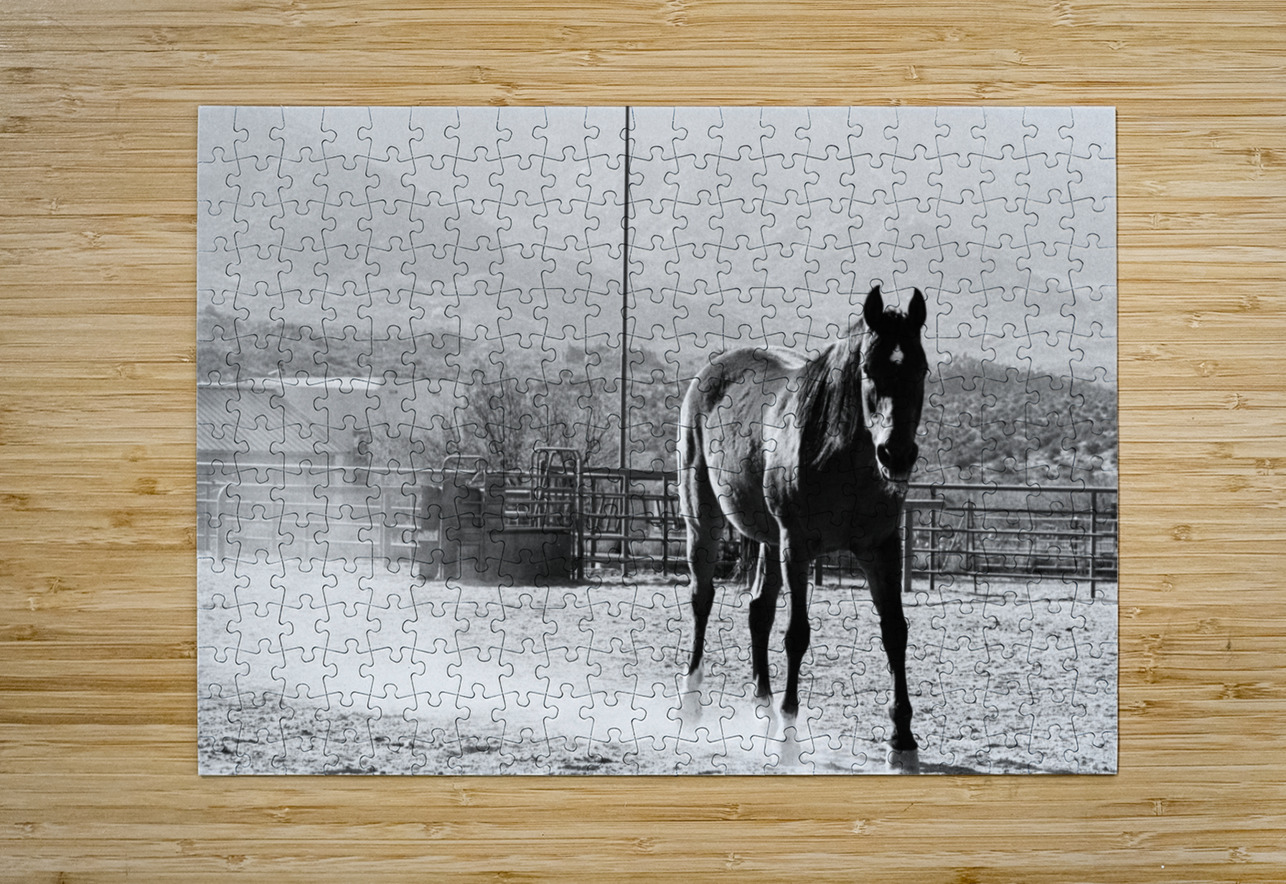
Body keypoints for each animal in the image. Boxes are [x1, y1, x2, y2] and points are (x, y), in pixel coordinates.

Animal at [677, 284, 929, 770]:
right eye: (868, 370)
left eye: (921, 369)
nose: (896, 455)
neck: (841, 455)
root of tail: (709, 374)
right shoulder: (797, 546)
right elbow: (797, 635)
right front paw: (789, 738)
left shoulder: (881, 548)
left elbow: (895, 632)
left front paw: (902, 740)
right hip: (704, 517)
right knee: (702, 599)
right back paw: (691, 705)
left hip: (768, 539)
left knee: (758, 610)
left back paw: (762, 712)